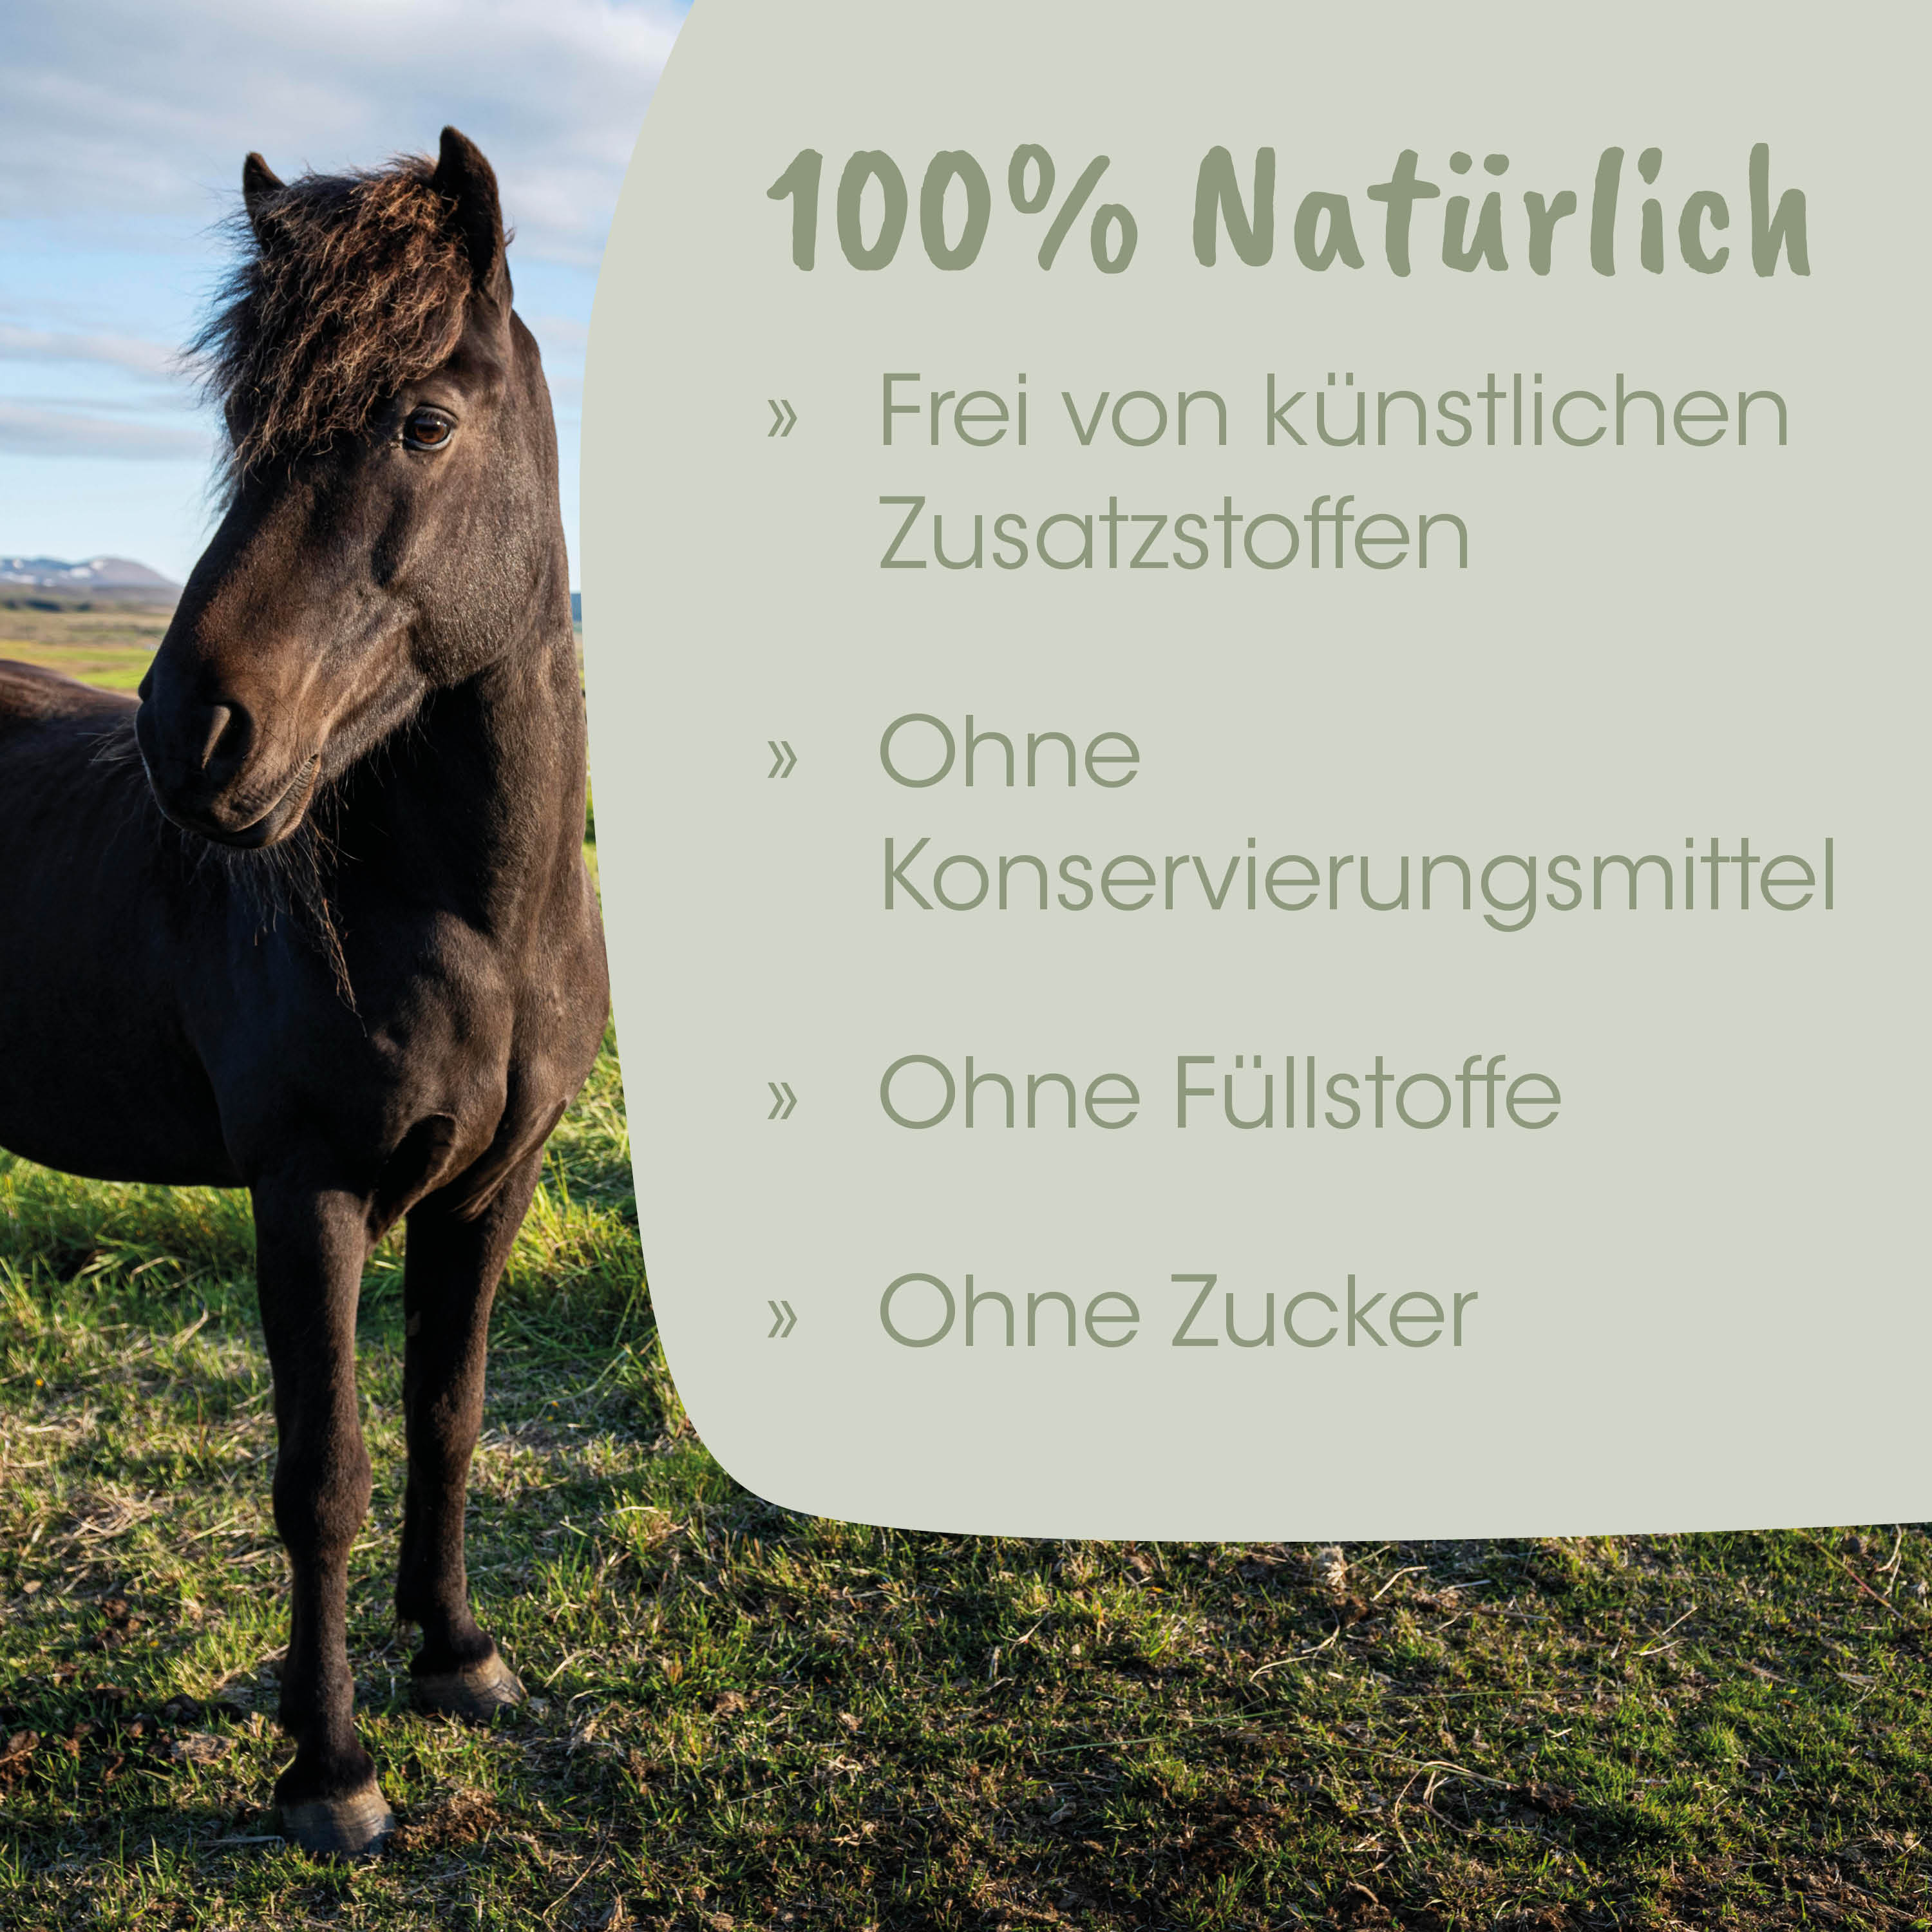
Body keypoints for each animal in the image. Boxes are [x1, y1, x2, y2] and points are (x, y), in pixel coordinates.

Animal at [0, 129, 609, 1856]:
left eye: (424, 420)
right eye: (244, 430)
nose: (190, 733)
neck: (470, 918)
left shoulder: (496, 1183)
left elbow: (449, 1413)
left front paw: (460, 1659)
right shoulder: (308, 1188)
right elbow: (321, 1471)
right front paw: (328, 1766)